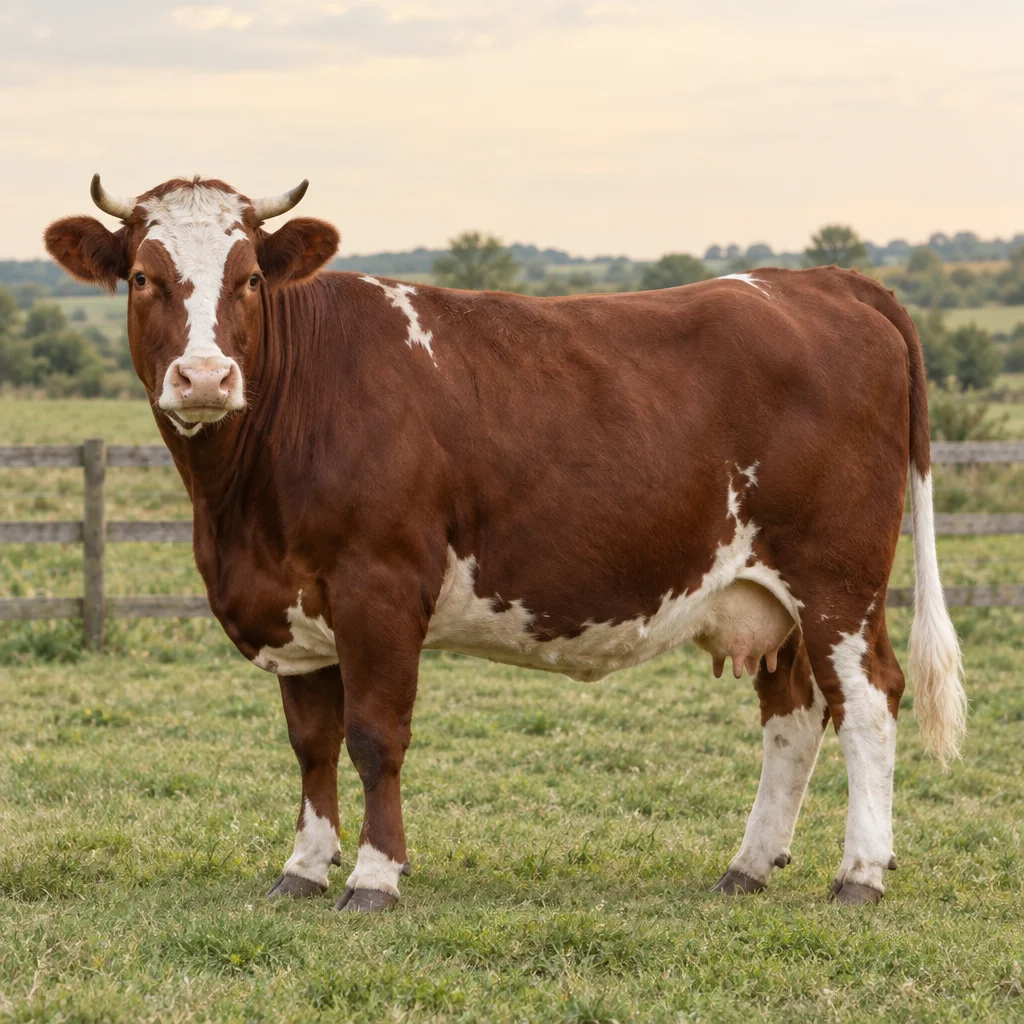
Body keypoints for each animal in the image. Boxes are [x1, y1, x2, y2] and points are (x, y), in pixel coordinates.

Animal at [44, 175, 967, 911]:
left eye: (248, 280)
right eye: (142, 276)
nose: (205, 377)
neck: (241, 507)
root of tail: (821, 280)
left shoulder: (379, 587)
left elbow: (374, 735)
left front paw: (374, 878)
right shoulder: (290, 606)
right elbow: (311, 743)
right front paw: (303, 868)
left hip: (837, 579)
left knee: (869, 701)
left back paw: (860, 873)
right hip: (765, 593)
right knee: (796, 712)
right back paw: (748, 865)